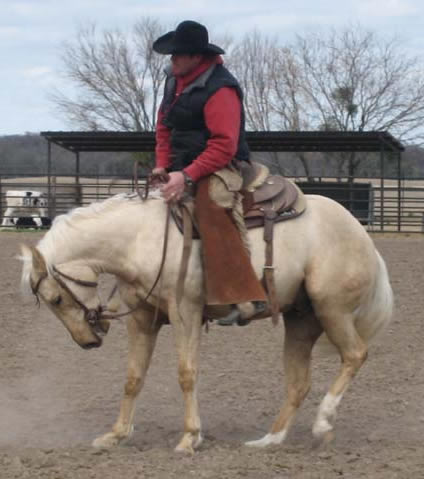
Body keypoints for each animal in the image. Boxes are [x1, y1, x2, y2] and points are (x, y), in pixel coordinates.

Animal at [19, 190, 390, 454]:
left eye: (56, 299)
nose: (87, 341)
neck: (139, 239)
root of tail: (361, 235)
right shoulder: (142, 318)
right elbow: (133, 378)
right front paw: (116, 435)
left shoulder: (186, 312)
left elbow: (187, 374)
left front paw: (190, 437)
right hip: (301, 320)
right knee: (299, 383)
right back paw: (268, 441)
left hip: (332, 308)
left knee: (355, 355)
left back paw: (323, 424)